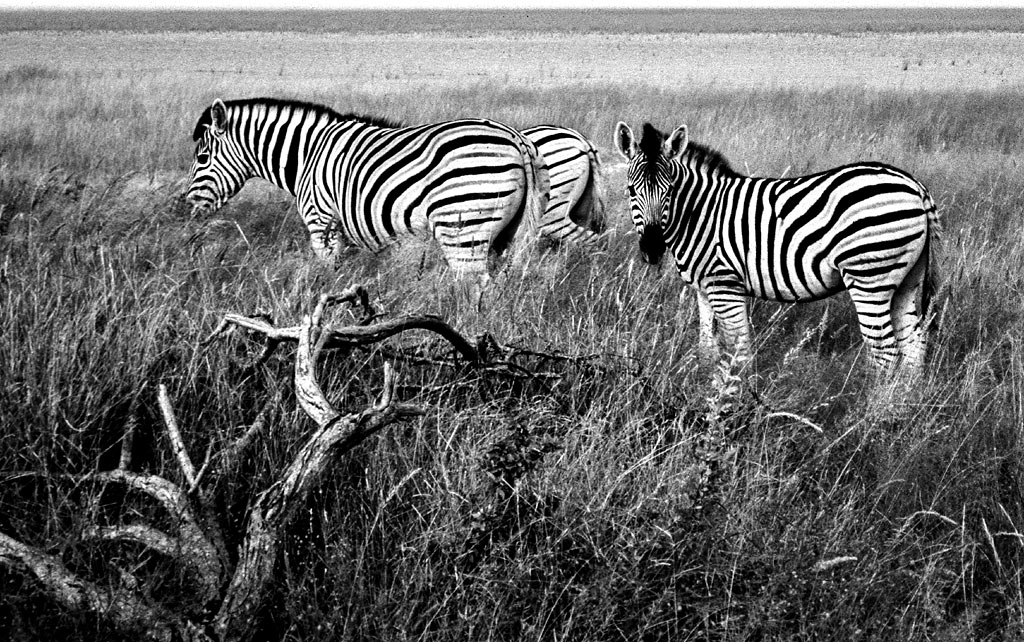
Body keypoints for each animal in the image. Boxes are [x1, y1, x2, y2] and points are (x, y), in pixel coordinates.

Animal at [185, 98, 548, 285]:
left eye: (202, 158)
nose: (188, 206)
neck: (307, 154)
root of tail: (516, 138)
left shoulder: (322, 224)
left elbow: (329, 275)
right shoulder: (344, 231)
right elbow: (345, 277)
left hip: (462, 226)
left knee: (475, 286)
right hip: (512, 234)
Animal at [614, 121, 940, 375]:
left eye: (669, 190)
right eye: (631, 190)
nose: (652, 249)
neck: (699, 213)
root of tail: (915, 185)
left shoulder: (724, 284)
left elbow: (740, 348)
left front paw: (737, 400)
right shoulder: (703, 289)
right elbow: (707, 349)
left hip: (870, 277)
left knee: (885, 353)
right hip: (908, 279)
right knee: (915, 346)